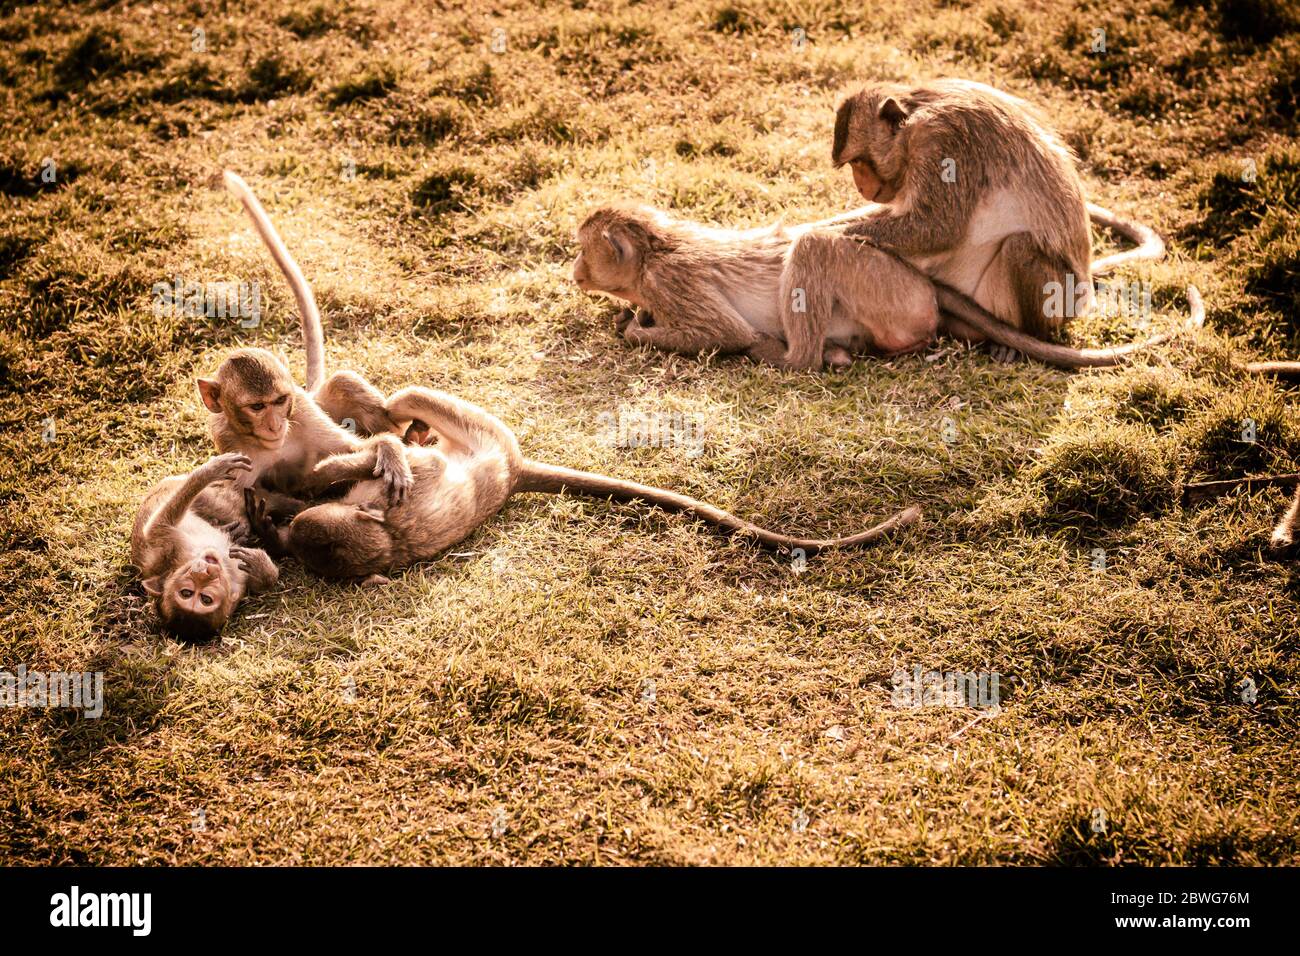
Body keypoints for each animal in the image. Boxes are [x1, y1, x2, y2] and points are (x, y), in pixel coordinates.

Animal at [130, 452, 279, 640]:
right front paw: (211, 471)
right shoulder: (166, 545)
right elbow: (156, 526)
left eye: (203, 598)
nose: (204, 572)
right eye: (188, 593)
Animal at [199, 172, 408, 503]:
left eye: (279, 400)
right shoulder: (235, 453)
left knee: (342, 382)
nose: (275, 426)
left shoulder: (306, 414)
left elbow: (356, 446)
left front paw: (389, 452)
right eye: (256, 408)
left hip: (315, 401)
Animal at [247, 386, 922, 583]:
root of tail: (516, 471)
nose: (290, 522)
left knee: (410, 403)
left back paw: (390, 422)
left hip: (480, 429)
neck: (388, 540)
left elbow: (391, 471)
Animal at [573, 203, 1203, 372]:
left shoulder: (668, 281)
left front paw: (634, 328)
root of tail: (920, 279)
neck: (656, 246)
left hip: (884, 290)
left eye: (582, 249)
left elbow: (721, 331)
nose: (574, 272)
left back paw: (794, 356)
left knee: (813, 248)